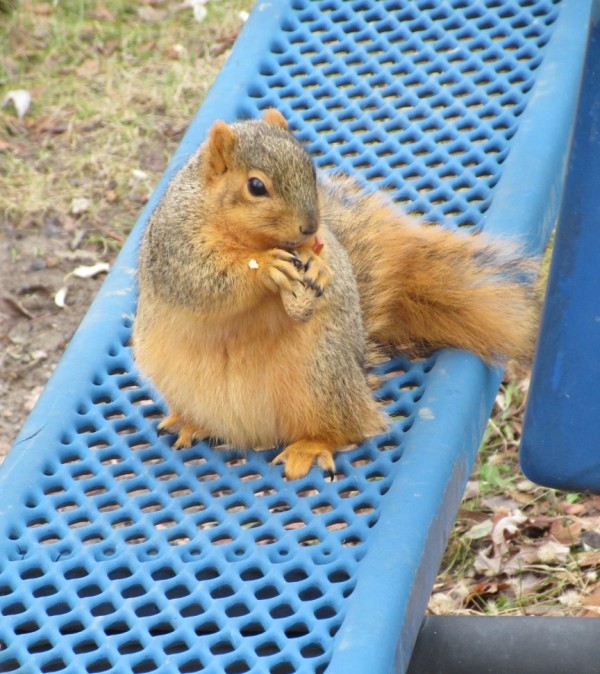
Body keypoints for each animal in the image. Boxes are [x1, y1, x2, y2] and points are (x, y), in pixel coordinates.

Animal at [133, 109, 537, 480]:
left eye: (311, 169)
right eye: (256, 187)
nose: (310, 225)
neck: (252, 239)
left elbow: (331, 259)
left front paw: (321, 267)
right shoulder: (177, 246)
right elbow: (204, 280)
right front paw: (264, 267)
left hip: (321, 375)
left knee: (345, 429)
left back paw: (310, 447)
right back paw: (192, 423)